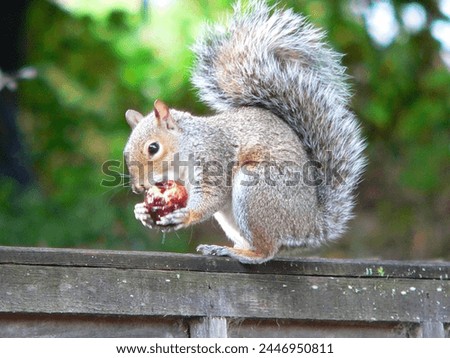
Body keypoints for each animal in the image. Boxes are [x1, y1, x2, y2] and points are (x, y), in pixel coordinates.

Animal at [122, 0, 366, 262]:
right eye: (126, 154)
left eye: (153, 148)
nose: (138, 187)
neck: (188, 145)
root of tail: (310, 225)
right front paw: (141, 211)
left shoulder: (213, 156)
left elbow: (212, 196)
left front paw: (184, 215)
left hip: (257, 188)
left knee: (266, 251)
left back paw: (238, 252)